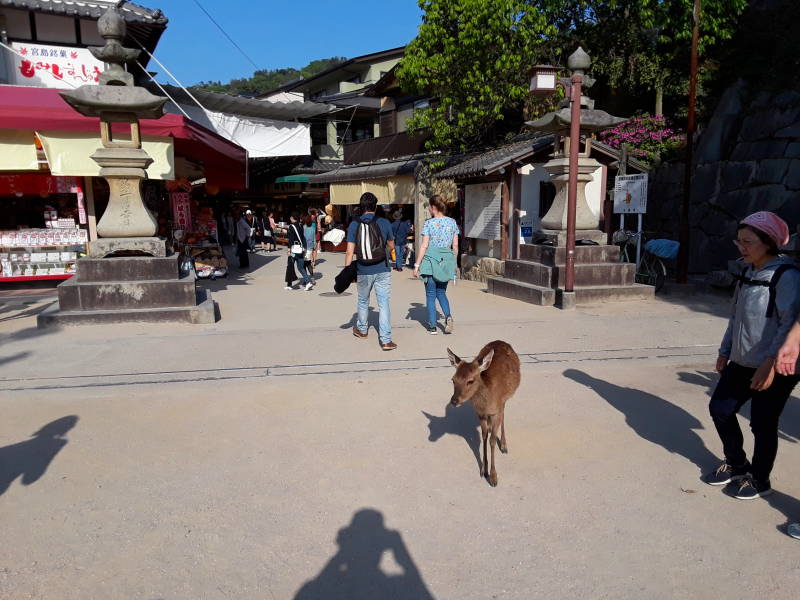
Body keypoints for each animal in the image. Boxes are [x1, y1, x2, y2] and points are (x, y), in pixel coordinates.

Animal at [446, 340, 520, 486]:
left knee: (503, 415)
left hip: (505, 398)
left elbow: (492, 440)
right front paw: (483, 471)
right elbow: (484, 437)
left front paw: (493, 477)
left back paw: (504, 446)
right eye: (453, 379)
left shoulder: (496, 409)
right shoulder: (479, 414)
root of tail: (502, 341)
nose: (454, 401)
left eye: (470, 380)